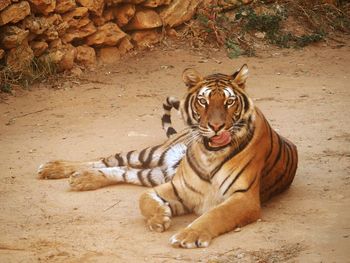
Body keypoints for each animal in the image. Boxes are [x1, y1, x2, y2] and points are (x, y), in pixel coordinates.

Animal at [37, 64, 298, 250]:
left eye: (229, 101)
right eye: (203, 101)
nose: (216, 127)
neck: (209, 154)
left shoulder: (244, 197)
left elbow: (215, 214)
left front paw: (188, 235)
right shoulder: (178, 187)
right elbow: (143, 198)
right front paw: (159, 218)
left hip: (154, 172)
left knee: (123, 171)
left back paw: (82, 179)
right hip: (150, 155)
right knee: (109, 160)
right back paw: (55, 169)